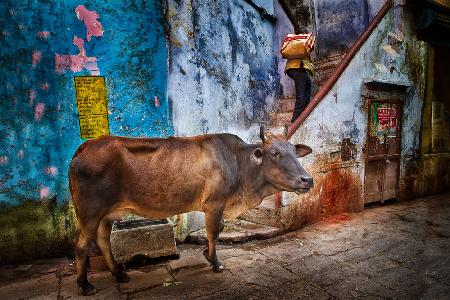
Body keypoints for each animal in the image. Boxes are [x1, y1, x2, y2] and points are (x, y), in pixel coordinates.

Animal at [69, 127, 312, 296]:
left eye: (295, 153)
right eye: (275, 153)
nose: (307, 179)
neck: (240, 165)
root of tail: (90, 143)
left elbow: (216, 231)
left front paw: (206, 254)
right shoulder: (215, 204)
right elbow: (214, 232)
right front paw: (215, 262)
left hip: (106, 214)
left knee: (103, 241)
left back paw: (119, 274)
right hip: (90, 212)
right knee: (81, 245)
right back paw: (85, 285)